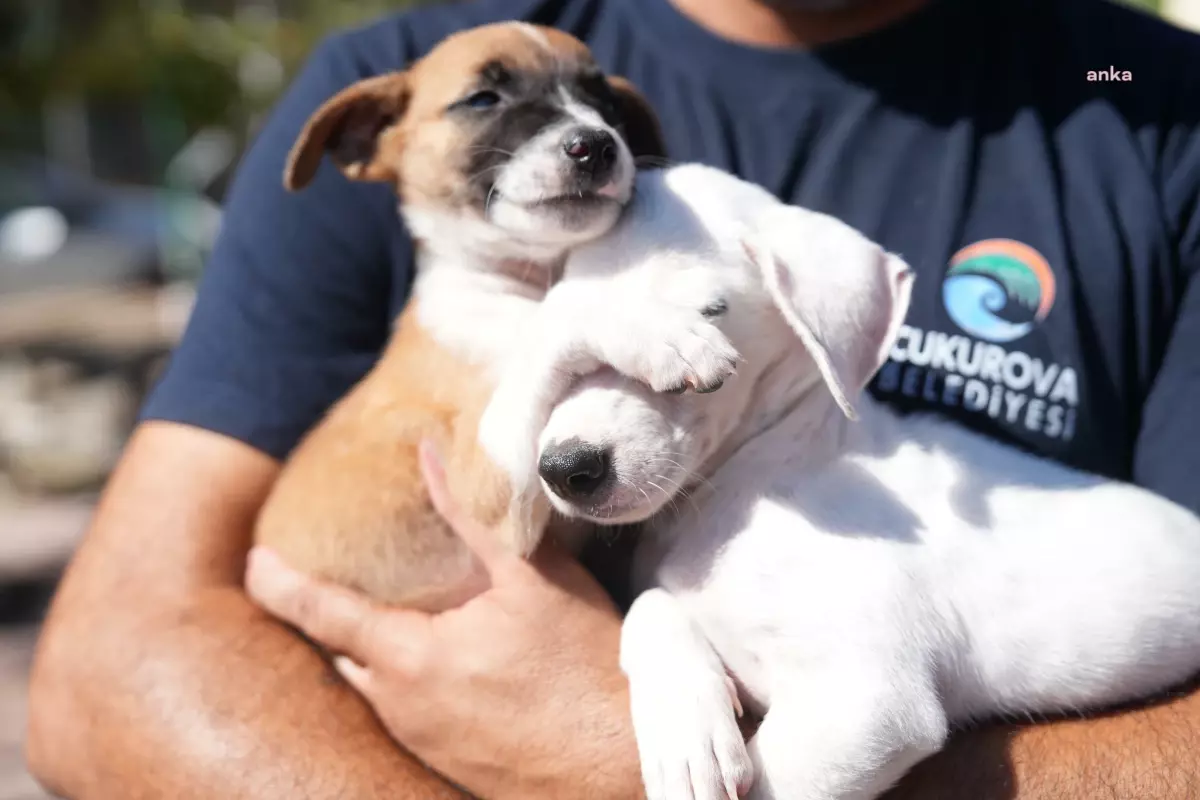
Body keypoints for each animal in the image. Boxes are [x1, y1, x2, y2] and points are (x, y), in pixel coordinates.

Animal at [253, 21, 667, 609]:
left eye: (605, 103)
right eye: (483, 99)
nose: (595, 145)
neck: (523, 281)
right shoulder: (488, 490)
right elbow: (560, 316)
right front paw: (663, 330)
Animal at [482, 164, 1200, 800]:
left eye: (713, 311)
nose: (567, 470)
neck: (758, 477)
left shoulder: (869, 703)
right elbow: (652, 605)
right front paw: (688, 739)